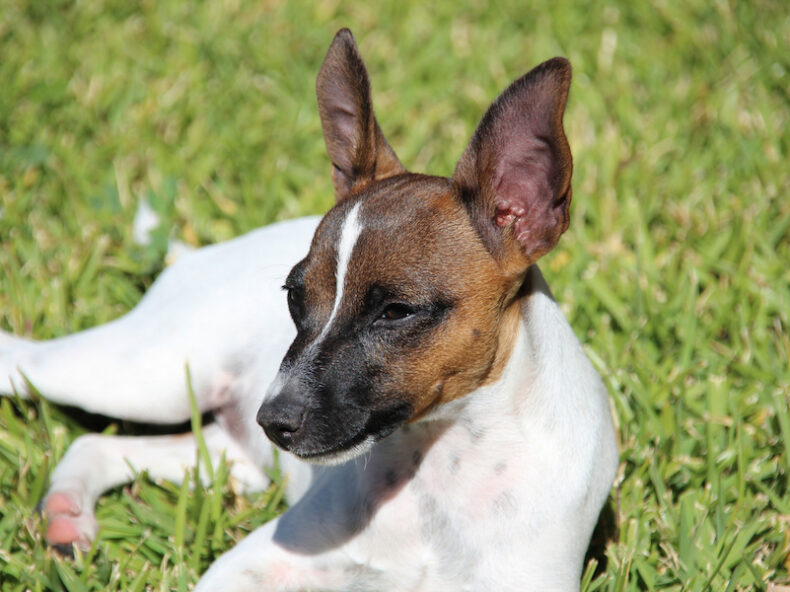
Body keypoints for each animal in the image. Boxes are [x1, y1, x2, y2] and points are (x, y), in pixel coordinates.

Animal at [0, 31, 620, 592]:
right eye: (294, 296)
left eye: (396, 312)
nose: (273, 420)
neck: (443, 466)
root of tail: (198, 254)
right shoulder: (255, 567)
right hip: (142, 376)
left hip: (228, 453)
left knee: (99, 443)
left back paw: (66, 511)